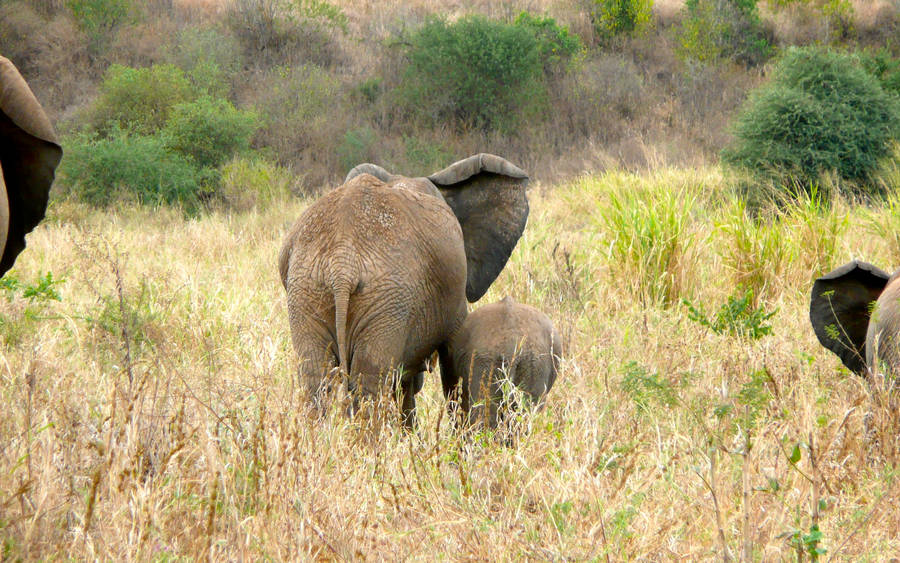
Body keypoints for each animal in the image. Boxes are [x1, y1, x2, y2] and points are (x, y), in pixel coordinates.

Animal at [282, 152, 532, 426]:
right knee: (369, 378)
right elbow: (452, 362)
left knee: (317, 377)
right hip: (385, 298)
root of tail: (342, 260)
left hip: (309, 289)